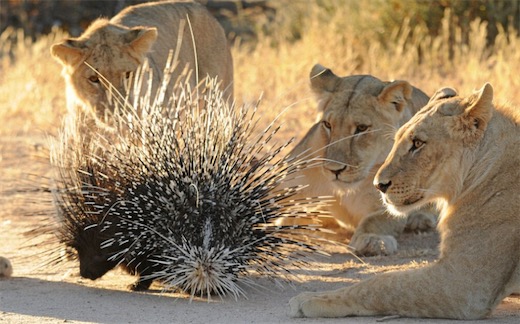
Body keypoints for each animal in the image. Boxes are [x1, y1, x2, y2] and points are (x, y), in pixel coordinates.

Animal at [280, 64, 434, 256]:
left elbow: (376, 220)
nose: (335, 170)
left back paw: (421, 220)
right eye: (328, 125)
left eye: (361, 128)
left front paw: (372, 241)